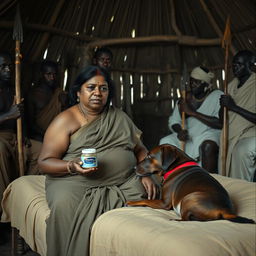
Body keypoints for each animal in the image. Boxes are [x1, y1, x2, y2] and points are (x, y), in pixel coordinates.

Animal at [127, 145, 255, 223]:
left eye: (149, 156)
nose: (134, 168)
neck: (176, 166)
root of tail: (225, 210)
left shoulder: (164, 203)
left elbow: (146, 201)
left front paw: (132, 202)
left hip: (188, 198)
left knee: (186, 219)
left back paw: (175, 220)